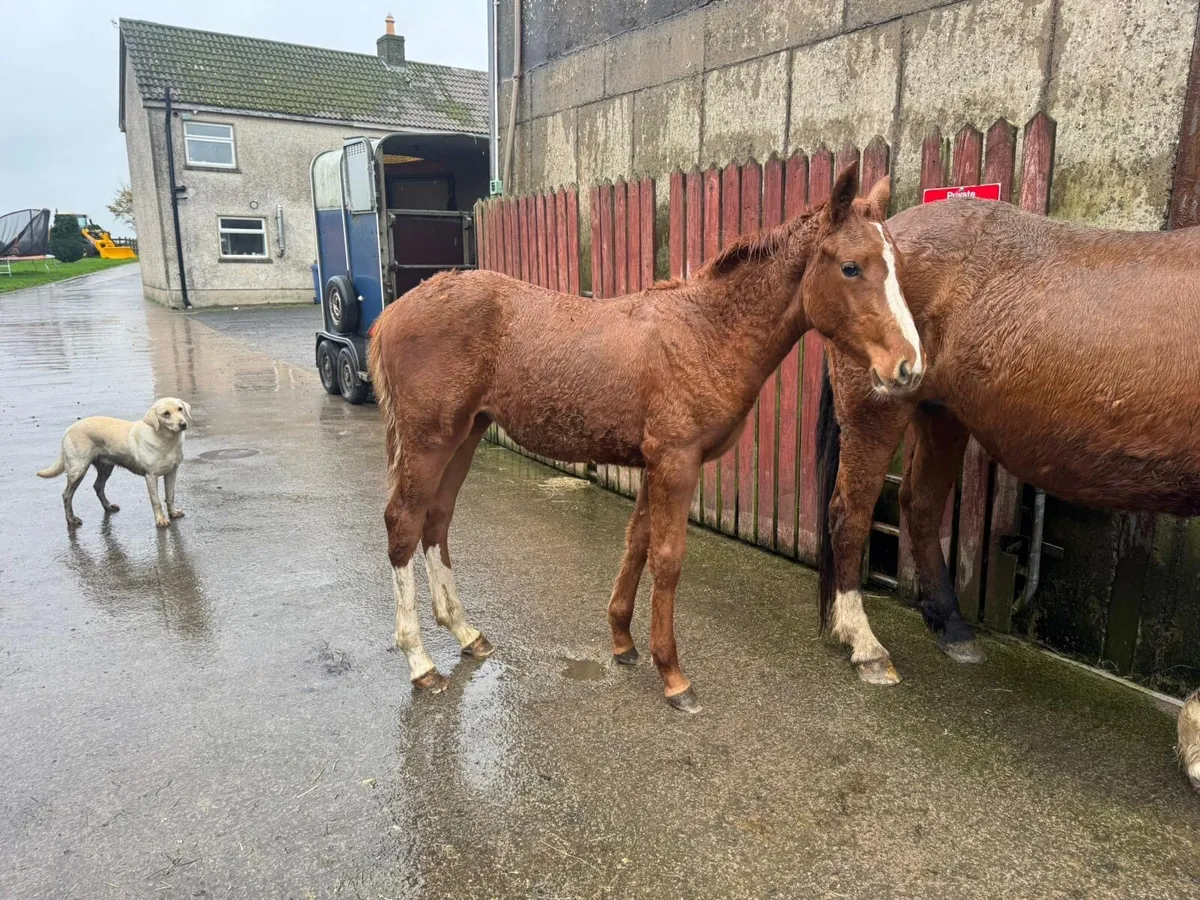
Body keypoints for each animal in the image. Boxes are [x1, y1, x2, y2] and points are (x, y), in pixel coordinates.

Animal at [368, 163, 924, 713]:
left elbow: (636, 543)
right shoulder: (676, 461)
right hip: (430, 440)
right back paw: (420, 662)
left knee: (437, 520)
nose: (909, 367)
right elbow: (668, 558)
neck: (707, 332)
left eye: (897, 263)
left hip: (465, 435)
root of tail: (393, 312)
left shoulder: (654, 463)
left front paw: (623, 641)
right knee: (404, 524)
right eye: (851, 267)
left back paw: (465, 632)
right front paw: (673, 675)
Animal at [816, 195, 1200, 790]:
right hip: (877, 407)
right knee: (850, 511)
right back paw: (865, 645)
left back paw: (951, 627)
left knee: (918, 506)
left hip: (941, 413)